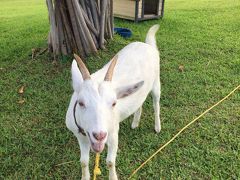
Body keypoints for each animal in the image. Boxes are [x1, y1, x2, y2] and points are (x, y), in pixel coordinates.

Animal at [65, 24, 161, 179]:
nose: (99, 135)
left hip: (156, 83)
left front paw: (113, 176)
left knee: (156, 103)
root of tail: (147, 44)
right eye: (81, 103)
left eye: (114, 103)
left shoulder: (113, 132)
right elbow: (83, 162)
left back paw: (157, 127)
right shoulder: (80, 136)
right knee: (139, 103)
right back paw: (135, 123)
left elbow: (110, 162)